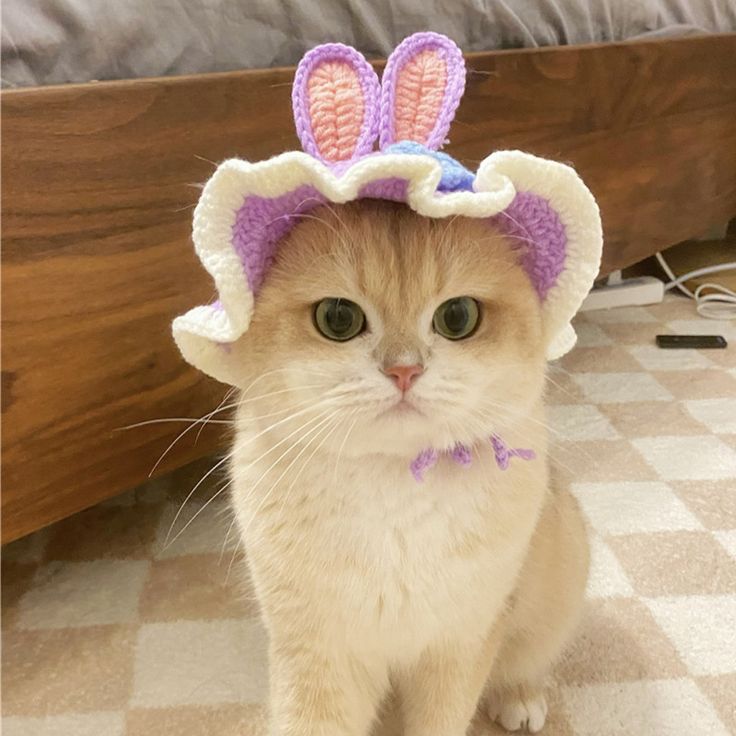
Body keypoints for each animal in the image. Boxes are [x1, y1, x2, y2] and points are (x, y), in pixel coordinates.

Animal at [227, 198, 588, 732]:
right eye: (338, 318)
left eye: (458, 317)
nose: (403, 370)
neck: (395, 492)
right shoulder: (317, 655)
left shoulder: (460, 644)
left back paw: (519, 696)